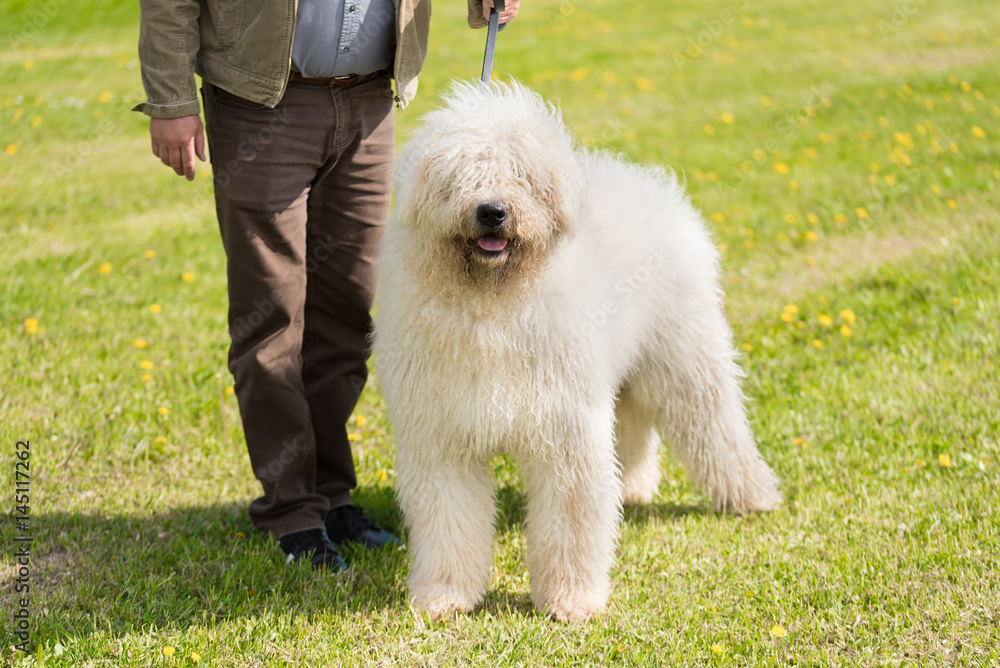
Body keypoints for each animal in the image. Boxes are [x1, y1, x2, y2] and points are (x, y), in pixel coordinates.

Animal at [374, 82, 780, 620]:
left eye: (522, 173)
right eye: (461, 173)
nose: (492, 211)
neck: (494, 304)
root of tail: (651, 183)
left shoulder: (566, 429)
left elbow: (572, 519)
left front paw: (571, 601)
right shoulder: (443, 437)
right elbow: (449, 522)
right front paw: (444, 596)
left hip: (684, 359)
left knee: (717, 428)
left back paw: (753, 495)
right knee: (635, 428)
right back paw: (634, 487)